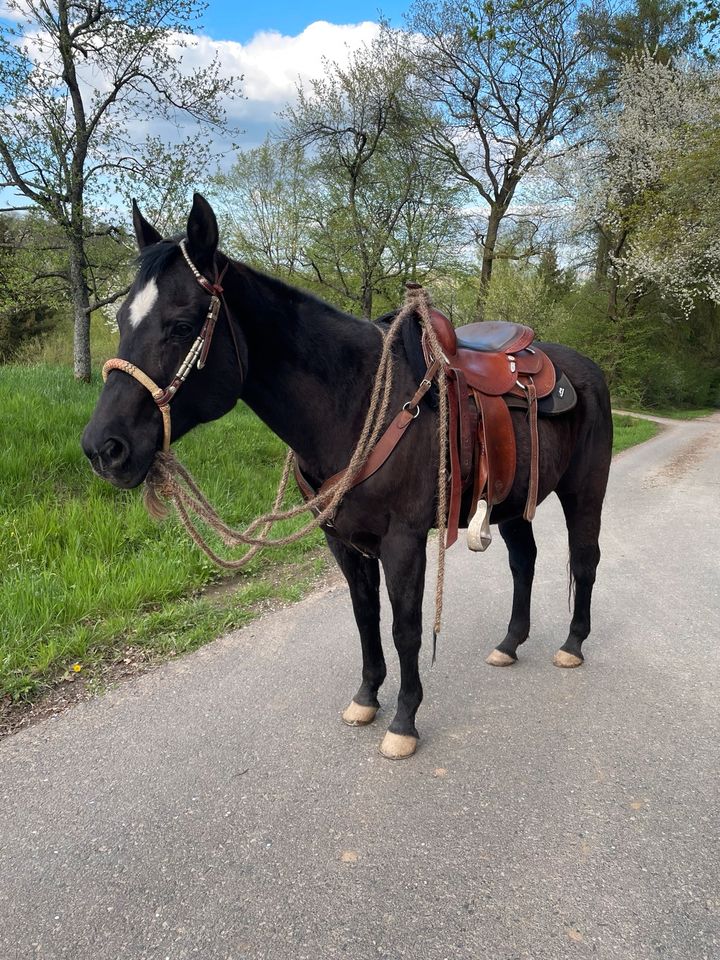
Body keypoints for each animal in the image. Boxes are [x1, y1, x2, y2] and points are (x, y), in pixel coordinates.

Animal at [83, 195, 612, 760]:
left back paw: (572, 645)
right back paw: (510, 644)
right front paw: (365, 698)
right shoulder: (341, 539)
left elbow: (405, 629)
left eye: (182, 325)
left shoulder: (403, 541)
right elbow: (365, 618)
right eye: (121, 319)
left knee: (584, 557)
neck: (356, 402)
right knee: (523, 560)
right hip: (512, 502)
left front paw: (404, 720)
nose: (103, 448)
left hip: (585, 491)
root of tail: (587, 370)